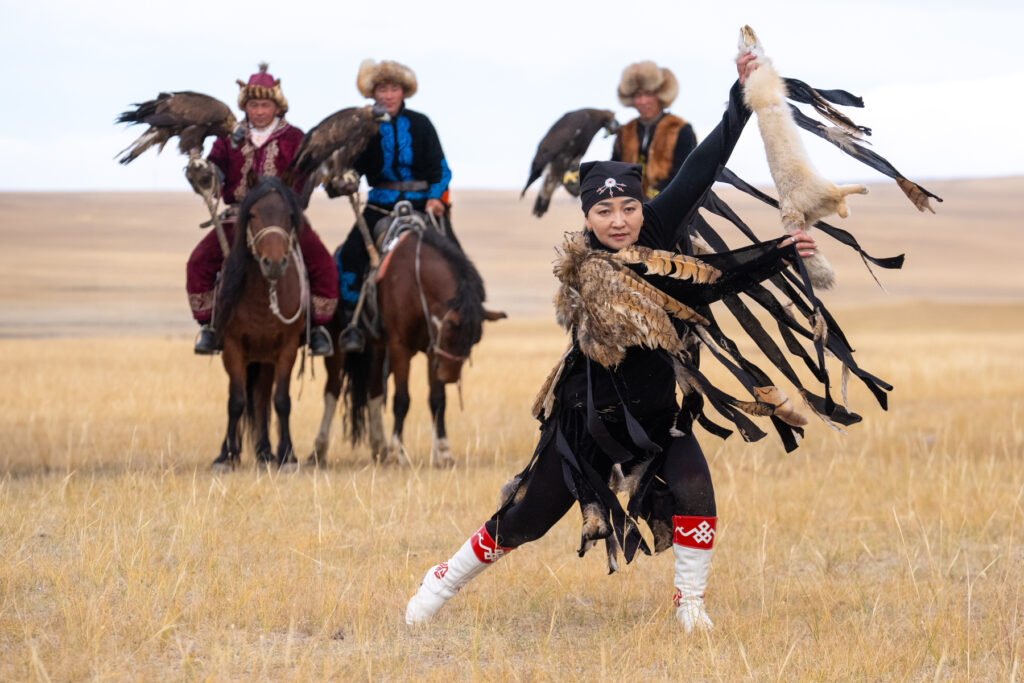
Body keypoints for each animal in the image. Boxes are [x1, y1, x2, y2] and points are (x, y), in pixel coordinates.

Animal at [207, 176, 303, 473]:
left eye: (289, 215)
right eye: (252, 215)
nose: (274, 263)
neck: (264, 294)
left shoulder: (288, 348)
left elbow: (281, 401)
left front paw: (287, 455)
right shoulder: (232, 347)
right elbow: (236, 401)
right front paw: (226, 457)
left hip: (266, 358)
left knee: (262, 399)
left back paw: (265, 452)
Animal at [311, 222, 503, 466]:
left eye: (475, 340)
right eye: (450, 332)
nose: (450, 377)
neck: (415, 284)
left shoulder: (432, 352)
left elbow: (438, 400)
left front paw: (443, 451)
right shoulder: (400, 347)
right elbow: (402, 399)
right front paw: (399, 453)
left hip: (378, 349)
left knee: (374, 389)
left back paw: (379, 447)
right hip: (339, 346)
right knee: (332, 390)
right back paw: (319, 449)